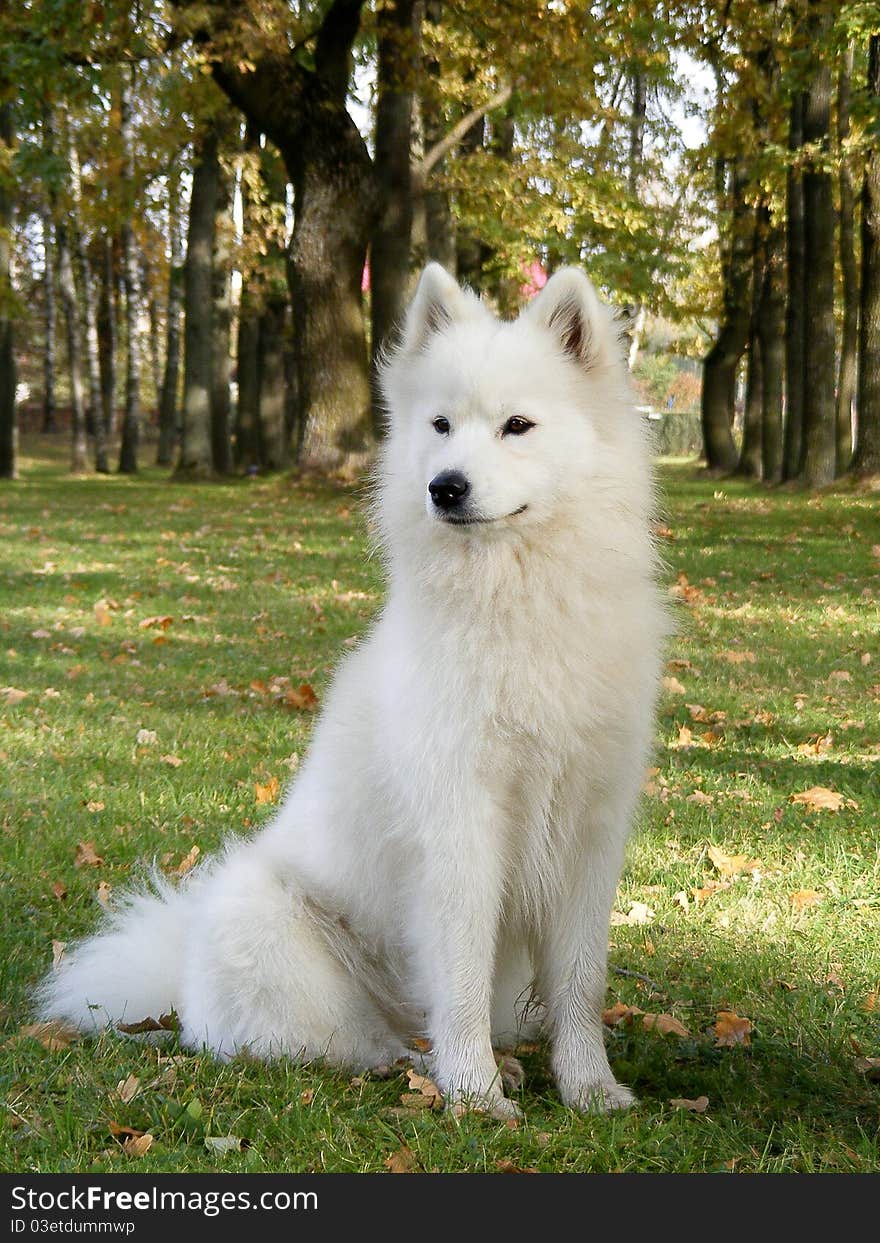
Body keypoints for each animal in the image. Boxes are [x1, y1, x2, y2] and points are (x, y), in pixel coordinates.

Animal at [37, 262, 661, 1118]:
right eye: (440, 425)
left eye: (518, 426)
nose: (445, 486)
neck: (518, 605)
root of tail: (179, 979)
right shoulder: (460, 829)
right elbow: (460, 978)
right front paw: (475, 1095)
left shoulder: (589, 833)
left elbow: (579, 982)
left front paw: (591, 1088)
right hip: (268, 924)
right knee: (347, 1041)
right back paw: (424, 1063)